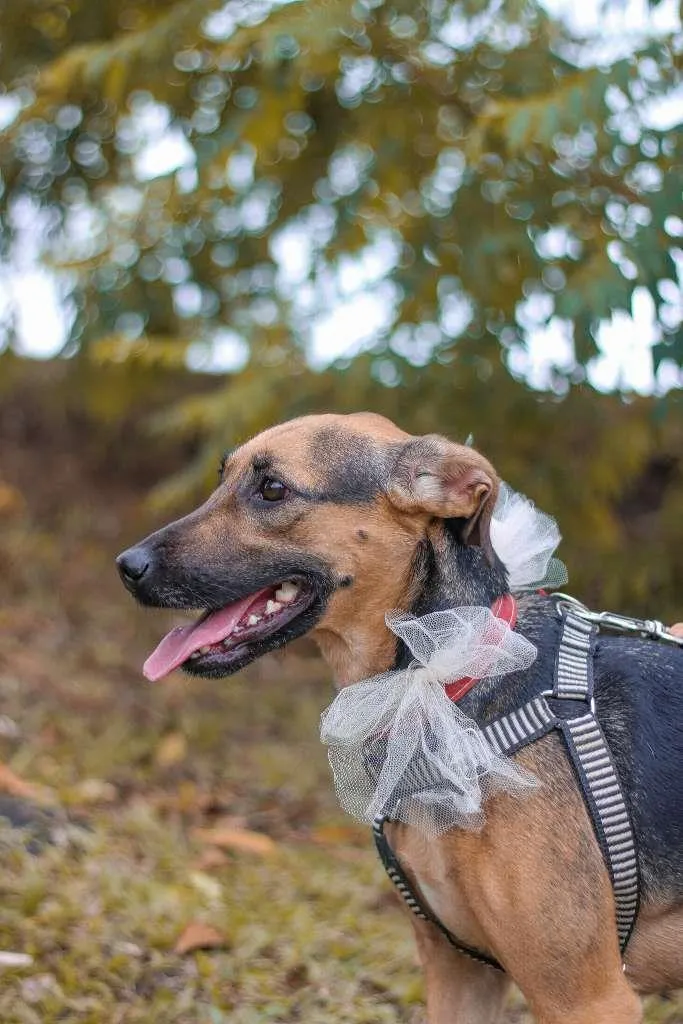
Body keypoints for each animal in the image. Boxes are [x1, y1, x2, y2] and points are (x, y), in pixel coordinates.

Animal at [117, 411, 683, 1019]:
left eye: (272, 490)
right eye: (221, 478)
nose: (127, 566)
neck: (446, 676)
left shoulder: (586, 998)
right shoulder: (459, 970)